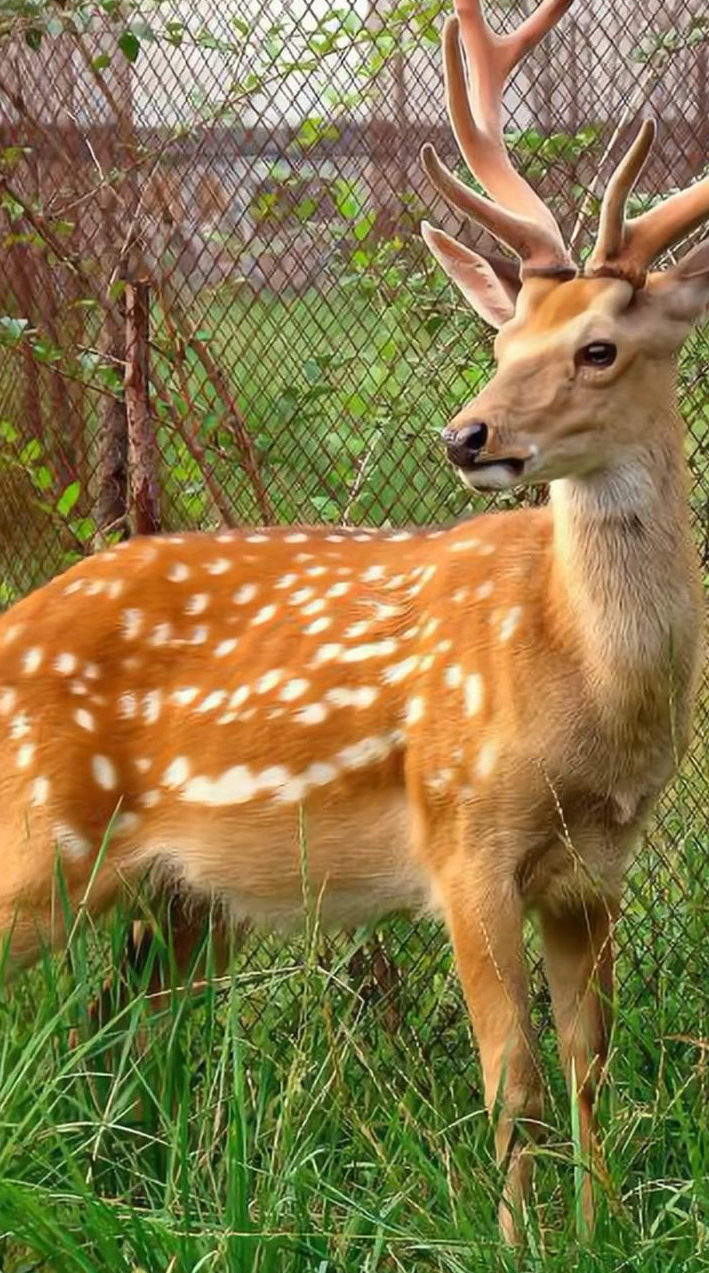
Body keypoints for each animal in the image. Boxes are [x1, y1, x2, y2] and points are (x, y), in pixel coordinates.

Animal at [0, 0, 707, 1244]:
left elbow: (591, 1068)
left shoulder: (596, 869)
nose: (467, 436)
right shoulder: (461, 831)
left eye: (598, 347)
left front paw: (603, 1230)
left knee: (114, 1033)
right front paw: (515, 1242)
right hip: (39, 833)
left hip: (181, 898)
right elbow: (513, 1076)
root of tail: (4, 631)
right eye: (500, 341)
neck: (582, 684)